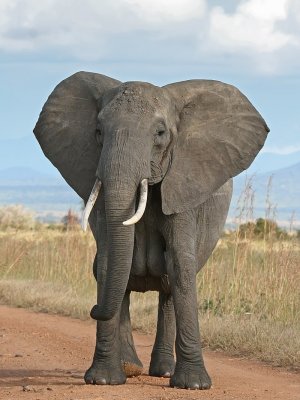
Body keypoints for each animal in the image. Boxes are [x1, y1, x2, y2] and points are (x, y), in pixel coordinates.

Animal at [34, 70, 268, 390]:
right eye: (98, 132)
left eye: (160, 133)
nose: (92, 309)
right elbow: (107, 263)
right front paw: (103, 380)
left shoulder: (184, 185)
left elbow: (181, 264)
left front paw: (194, 385)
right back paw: (130, 367)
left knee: (169, 285)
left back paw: (163, 372)